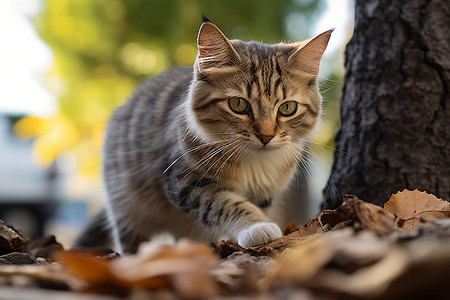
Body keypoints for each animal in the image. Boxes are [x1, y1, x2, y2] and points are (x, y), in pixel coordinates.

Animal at [74, 19, 332, 253]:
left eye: (287, 108)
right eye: (238, 104)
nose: (266, 136)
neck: (254, 164)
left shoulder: (264, 193)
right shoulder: (188, 182)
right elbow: (228, 204)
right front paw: (257, 227)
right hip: (128, 209)